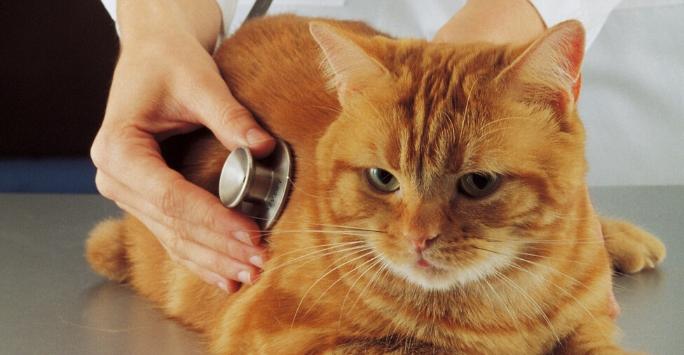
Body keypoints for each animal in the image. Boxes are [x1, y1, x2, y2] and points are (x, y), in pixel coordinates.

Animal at [84, 15, 664, 354]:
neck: (508, 294)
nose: (418, 239)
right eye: (383, 179)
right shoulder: (281, 333)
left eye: (478, 182)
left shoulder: (590, 324)